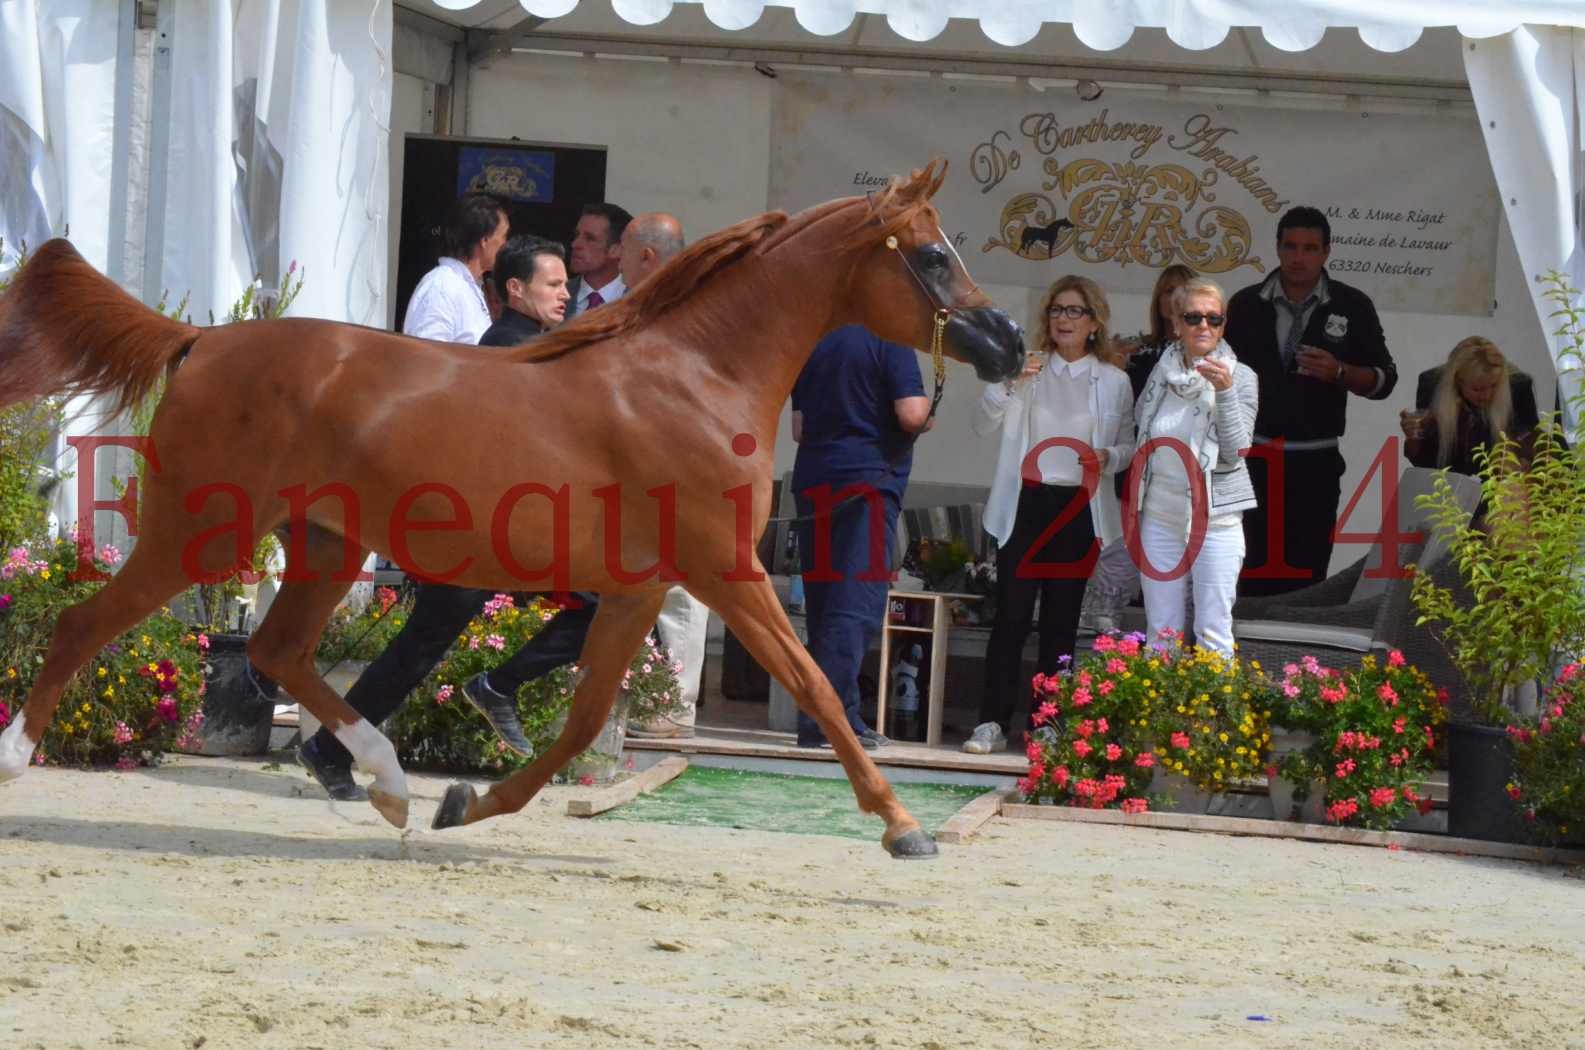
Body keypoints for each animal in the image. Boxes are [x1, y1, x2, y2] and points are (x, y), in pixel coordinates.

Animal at [0, 160, 1020, 862]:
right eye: (933, 255)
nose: (1008, 342)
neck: (694, 376)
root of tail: (200, 341)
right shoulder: (724, 572)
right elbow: (815, 684)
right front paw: (901, 824)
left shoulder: (636, 591)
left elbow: (579, 721)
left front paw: (466, 806)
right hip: (200, 532)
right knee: (91, 622)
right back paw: (18, 758)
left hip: (325, 546)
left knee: (278, 650)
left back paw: (389, 785)